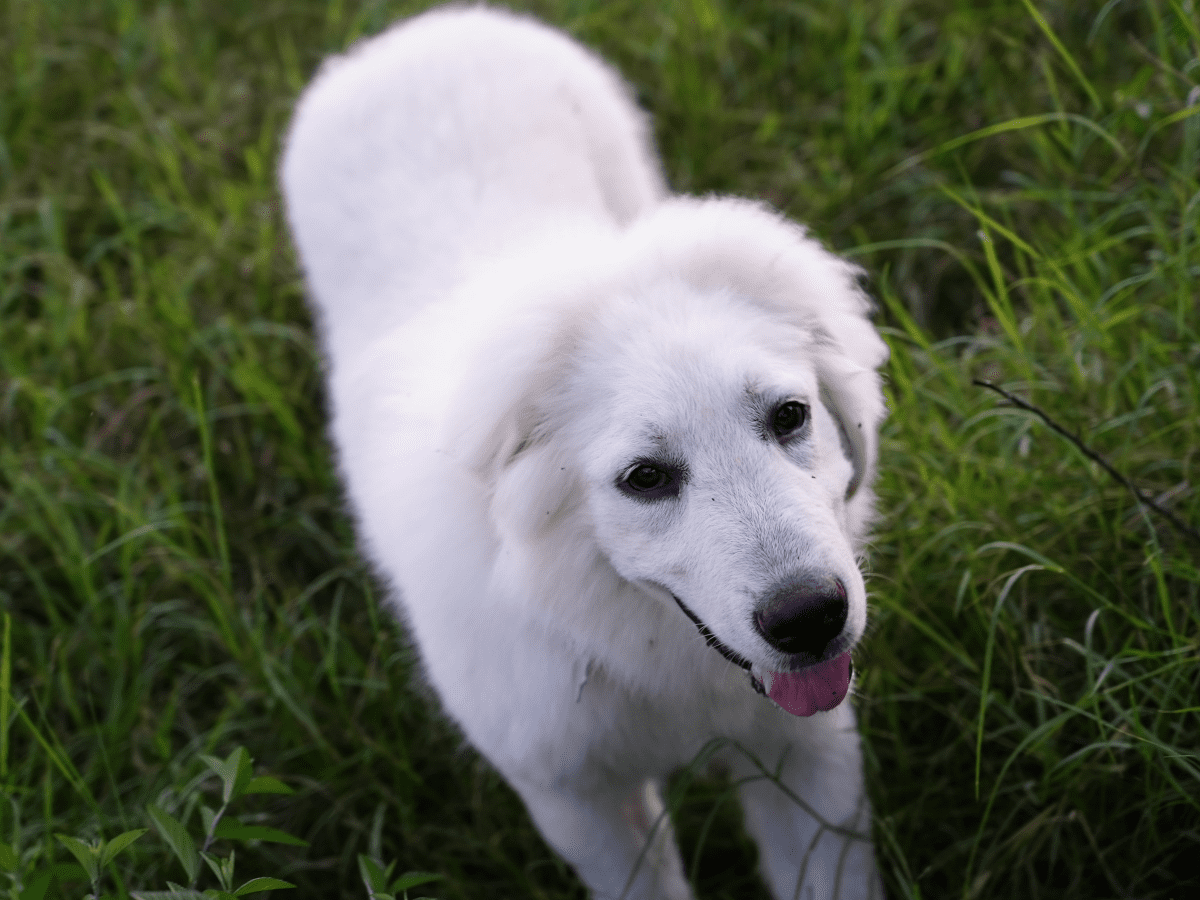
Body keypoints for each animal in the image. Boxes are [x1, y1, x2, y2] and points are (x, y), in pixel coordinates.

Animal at [278, 7, 883, 900]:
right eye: (645, 478)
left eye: (789, 416)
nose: (811, 619)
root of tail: (419, 30)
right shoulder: (579, 804)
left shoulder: (806, 754)